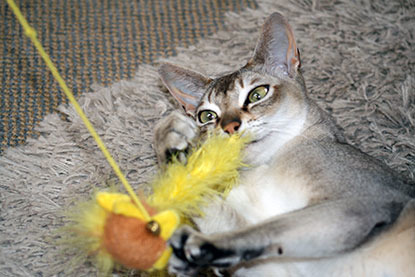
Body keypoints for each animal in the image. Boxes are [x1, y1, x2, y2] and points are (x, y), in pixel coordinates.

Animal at [154, 11, 415, 274]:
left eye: (257, 94)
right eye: (207, 116)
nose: (229, 127)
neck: (263, 166)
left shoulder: (361, 202)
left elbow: (271, 226)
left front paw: (203, 243)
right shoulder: (273, 269)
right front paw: (169, 144)